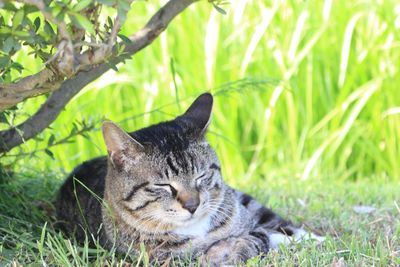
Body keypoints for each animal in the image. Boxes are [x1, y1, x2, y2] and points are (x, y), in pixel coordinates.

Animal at [54, 93, 324, 266]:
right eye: (163, 185)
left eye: (201, 176)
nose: (193, 205)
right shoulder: (162, 260)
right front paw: (221, 253)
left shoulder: (247, 223)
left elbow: (258, 237)